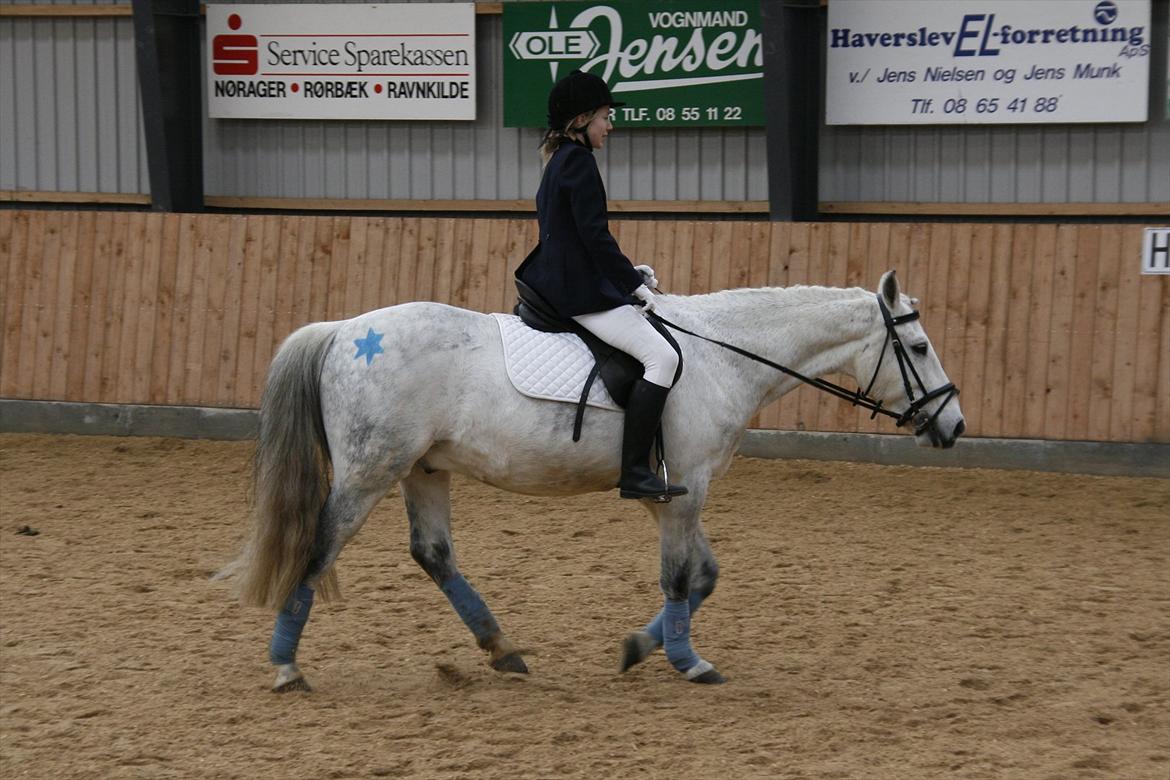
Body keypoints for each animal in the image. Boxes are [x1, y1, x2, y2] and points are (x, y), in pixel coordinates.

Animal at [219, 268, 959, 687]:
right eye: (920, 347)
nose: (953, 426)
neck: (724, 357)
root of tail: (345, 330)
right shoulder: (686, 486)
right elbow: (679, 578)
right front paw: (688, 662)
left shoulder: (673, 495)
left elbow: (703, 577)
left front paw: (640, 647)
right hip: (370, 472)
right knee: (318, 548)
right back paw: (285, 666)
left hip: (423, 469)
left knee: (433, 554)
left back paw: (503, 653)